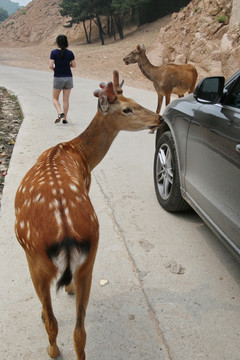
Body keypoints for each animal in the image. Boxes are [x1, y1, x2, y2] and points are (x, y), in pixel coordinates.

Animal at [14, 71, 161, 360]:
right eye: (127, 107)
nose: (159, 118)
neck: (79, 153)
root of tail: (66, 233)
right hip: (90, 258)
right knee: (79, 332)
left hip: (35, 258)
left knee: (53, 321)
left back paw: (51, 347)